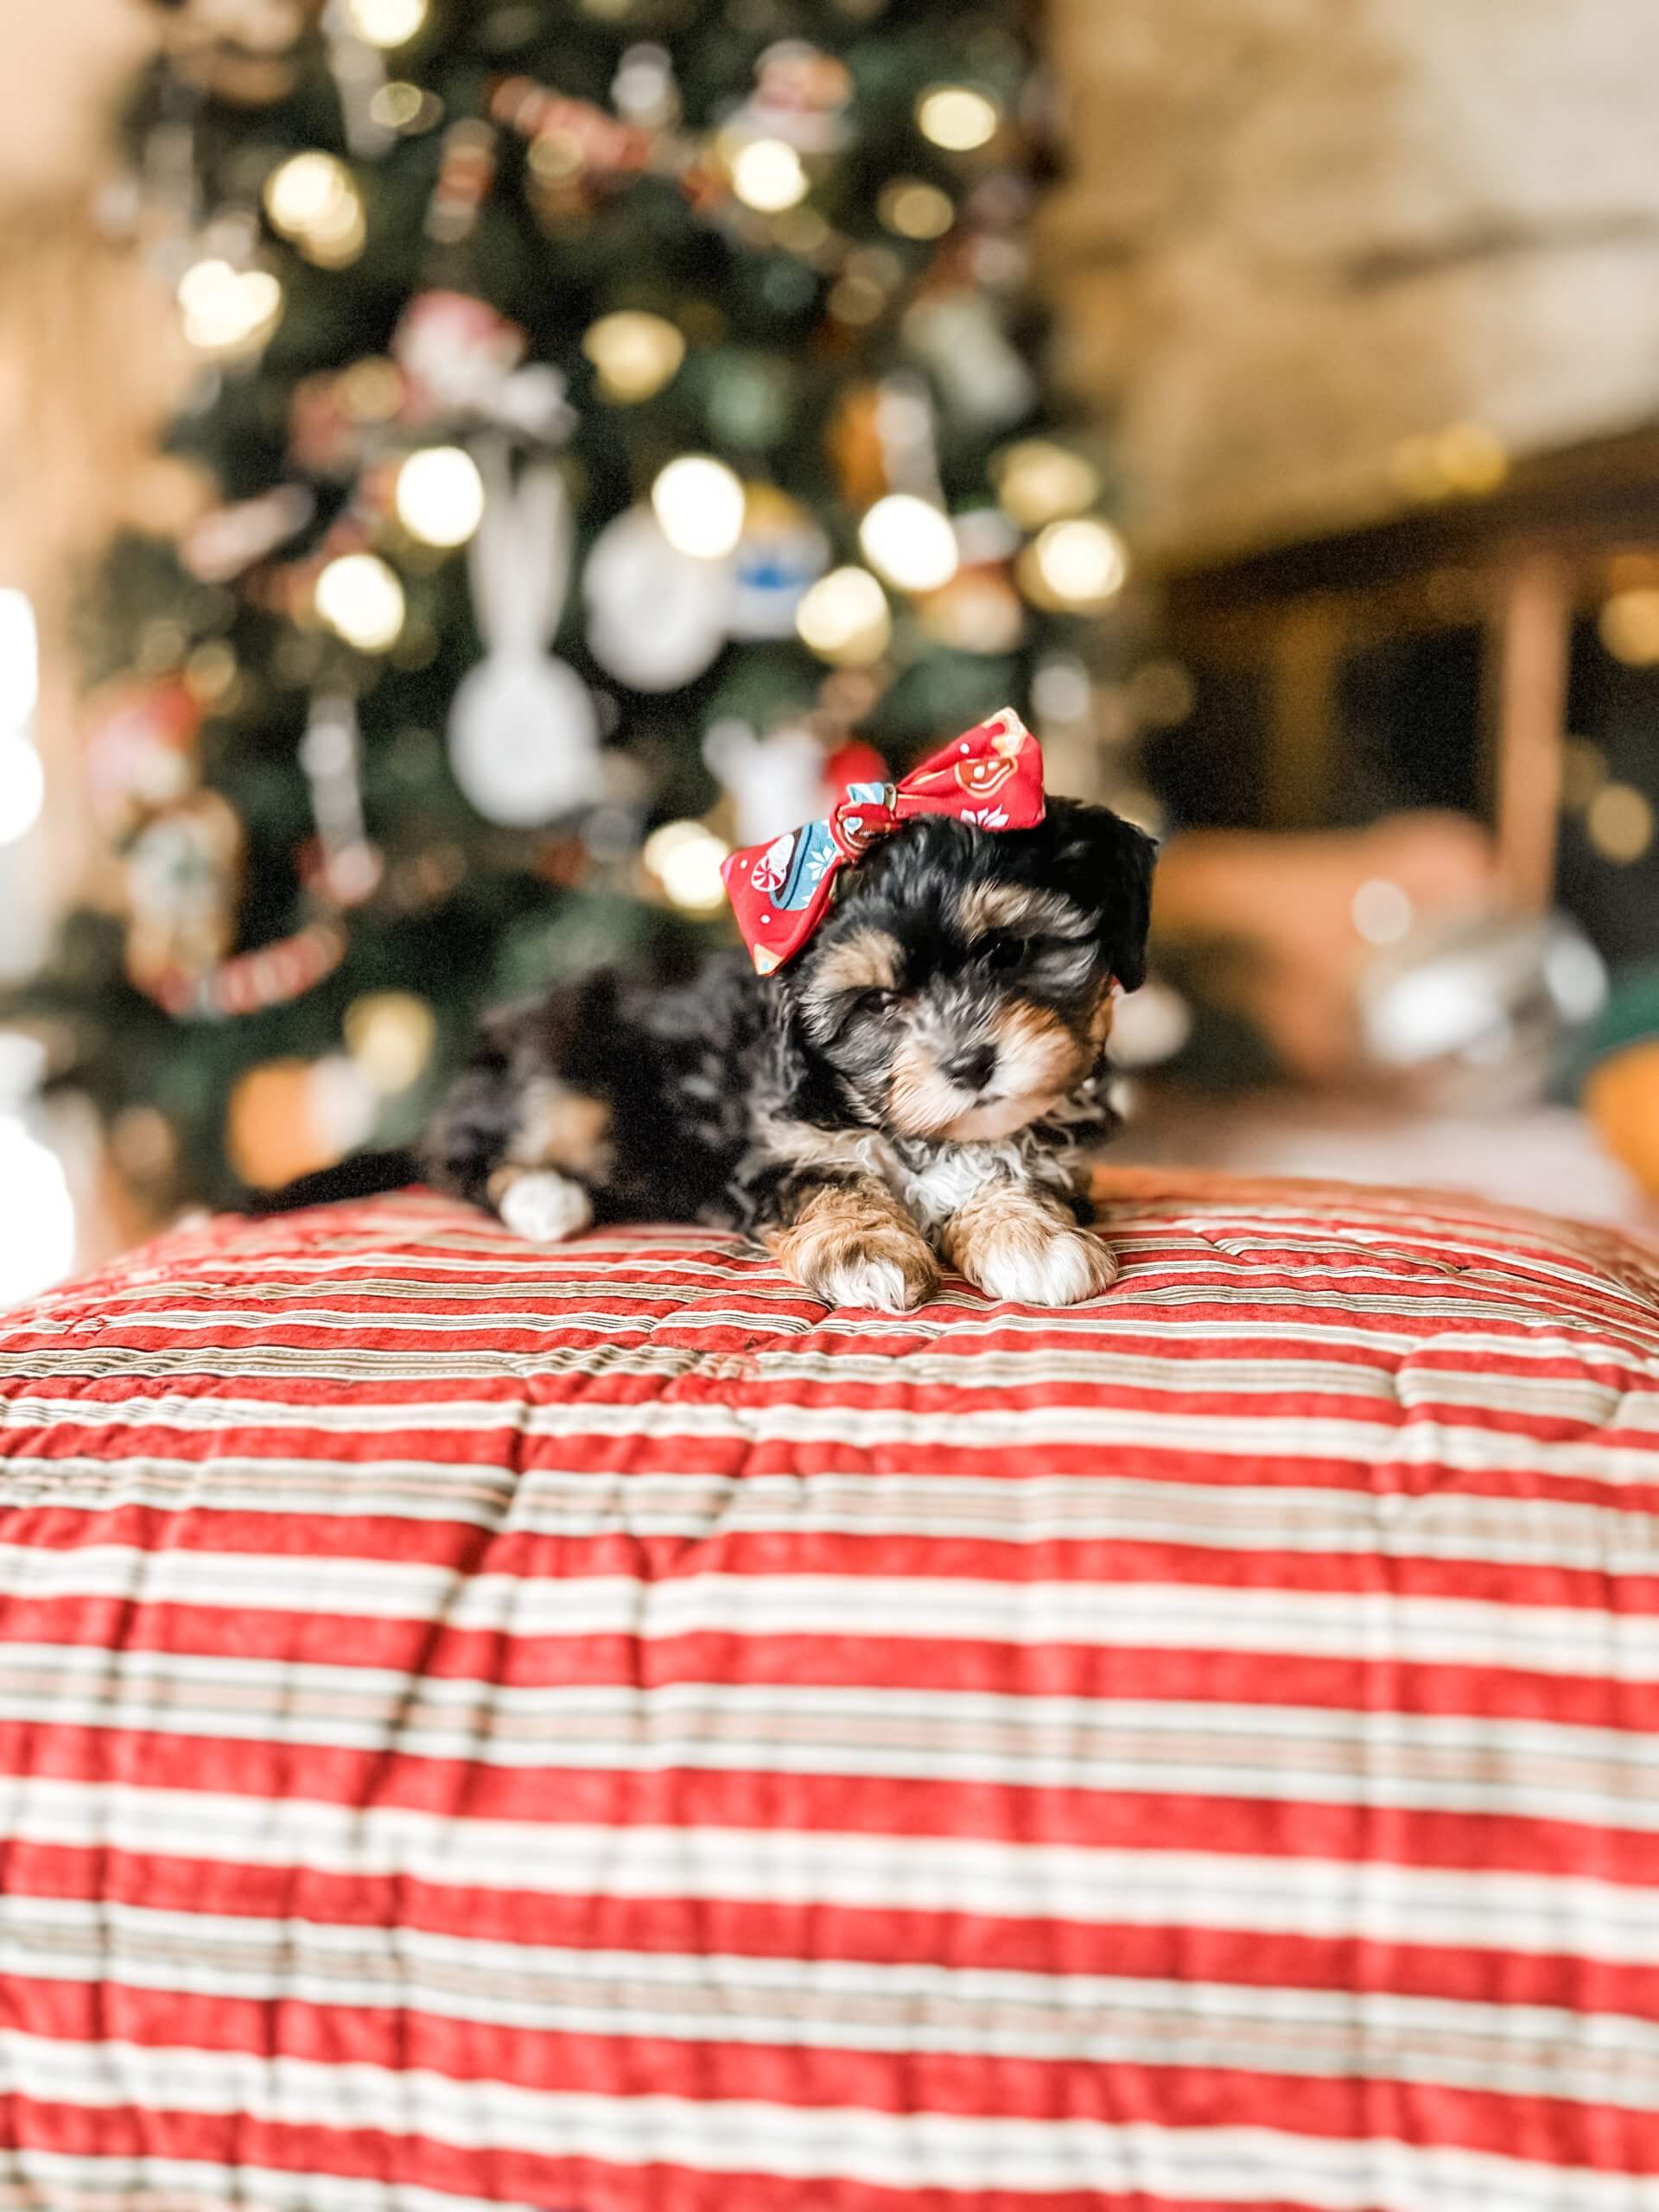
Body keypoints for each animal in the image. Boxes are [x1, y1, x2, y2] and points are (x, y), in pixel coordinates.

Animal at [417, 791, 1159, 1300]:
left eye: (1007, 951)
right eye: (877, 1003)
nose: (970, 1065)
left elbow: (1014, 1165)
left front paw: (1031, 1237)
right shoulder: (769, 1147)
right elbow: (825, 1179)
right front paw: (865, 1250)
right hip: (561, 1081)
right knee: (459, 1158)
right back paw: (545, 1197)